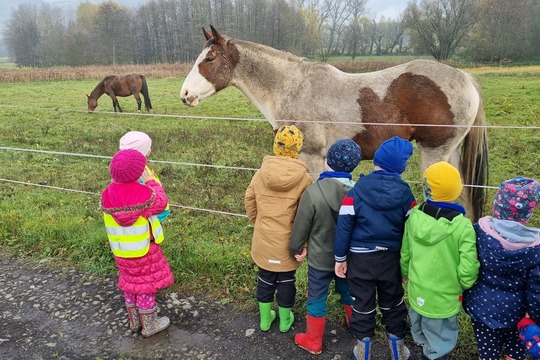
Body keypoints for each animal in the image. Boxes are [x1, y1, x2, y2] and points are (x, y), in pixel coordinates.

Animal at [181, 26, 490, 219]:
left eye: (210, 58)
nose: (185, 95)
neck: (293, 87)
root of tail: (465, 78)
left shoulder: (313, 157)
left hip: (434, 152)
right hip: (452, 155)